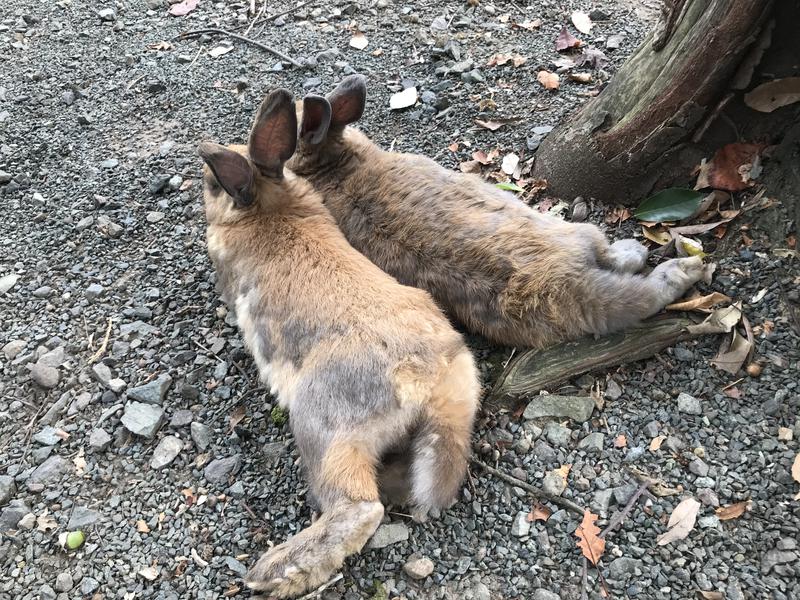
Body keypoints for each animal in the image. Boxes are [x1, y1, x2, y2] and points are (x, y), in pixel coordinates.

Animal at [200, 88, 482, 596]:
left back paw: (277, 572)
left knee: (359, 508)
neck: (270, 205)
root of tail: (424, 377)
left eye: (214, 185)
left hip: (322, 424)